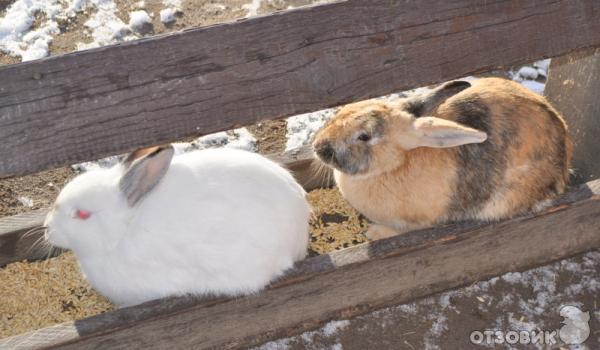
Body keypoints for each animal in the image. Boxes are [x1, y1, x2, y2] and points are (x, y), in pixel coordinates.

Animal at [314, 77, 572, 239]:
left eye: (364, 136)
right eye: (344, 110)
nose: (318, 146)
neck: (396, 163)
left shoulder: (419, 222)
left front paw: (375, 234)